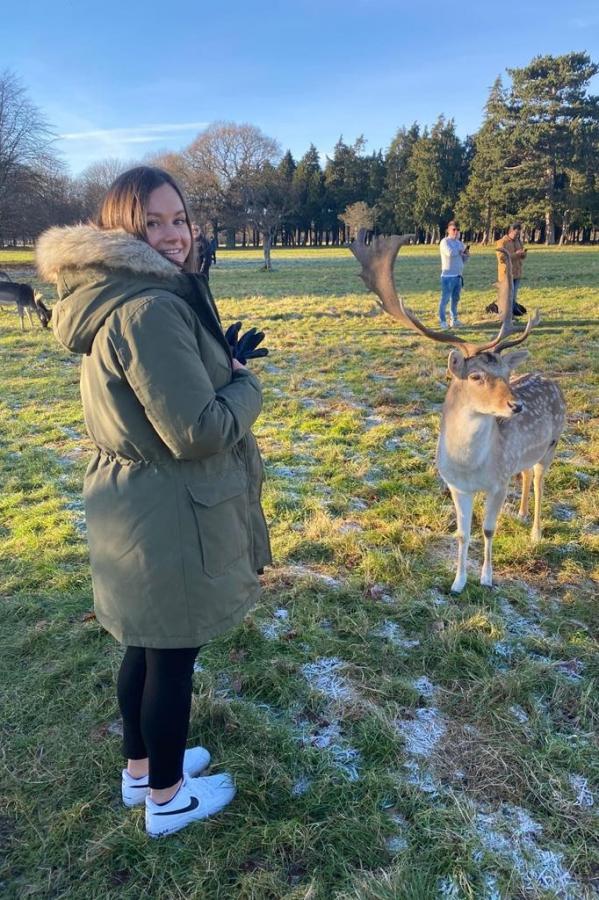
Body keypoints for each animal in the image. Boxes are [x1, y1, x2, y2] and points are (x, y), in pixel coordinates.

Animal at [350, 232, 564, 596]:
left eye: (506, 374)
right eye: (476, 376)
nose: (516, 405)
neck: (469, 466)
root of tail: (551, 381)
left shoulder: (497, 482)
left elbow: (488, 530)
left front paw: (487, 578)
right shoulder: (455, 486)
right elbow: (463, 533)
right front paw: (458, 582)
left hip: (552, 445)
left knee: (537, 479)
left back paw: (535, 530)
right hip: (524, 457)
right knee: (524, 474)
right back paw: (520, 514)